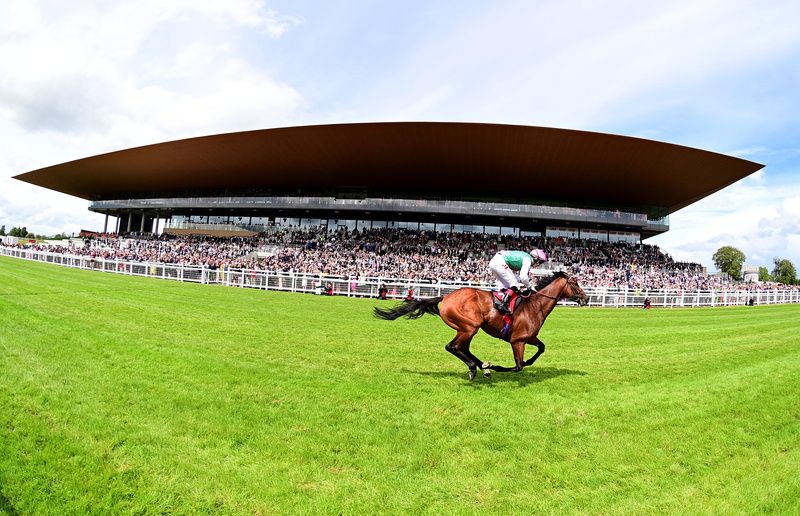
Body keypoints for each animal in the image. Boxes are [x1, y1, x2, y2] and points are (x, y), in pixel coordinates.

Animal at [374, 272, 588, 380]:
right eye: (576, 284)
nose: (586, 299)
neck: (534, 305)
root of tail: (446, 297)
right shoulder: (517, 341)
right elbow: (517, 366)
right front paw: (498, 367)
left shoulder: (529, 337)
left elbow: (541, 348)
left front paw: (528, 362)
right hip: (470, 326)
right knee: (452, 347)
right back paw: (477, 367)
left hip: (466, 329)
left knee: (463, 348)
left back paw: (481, 366)